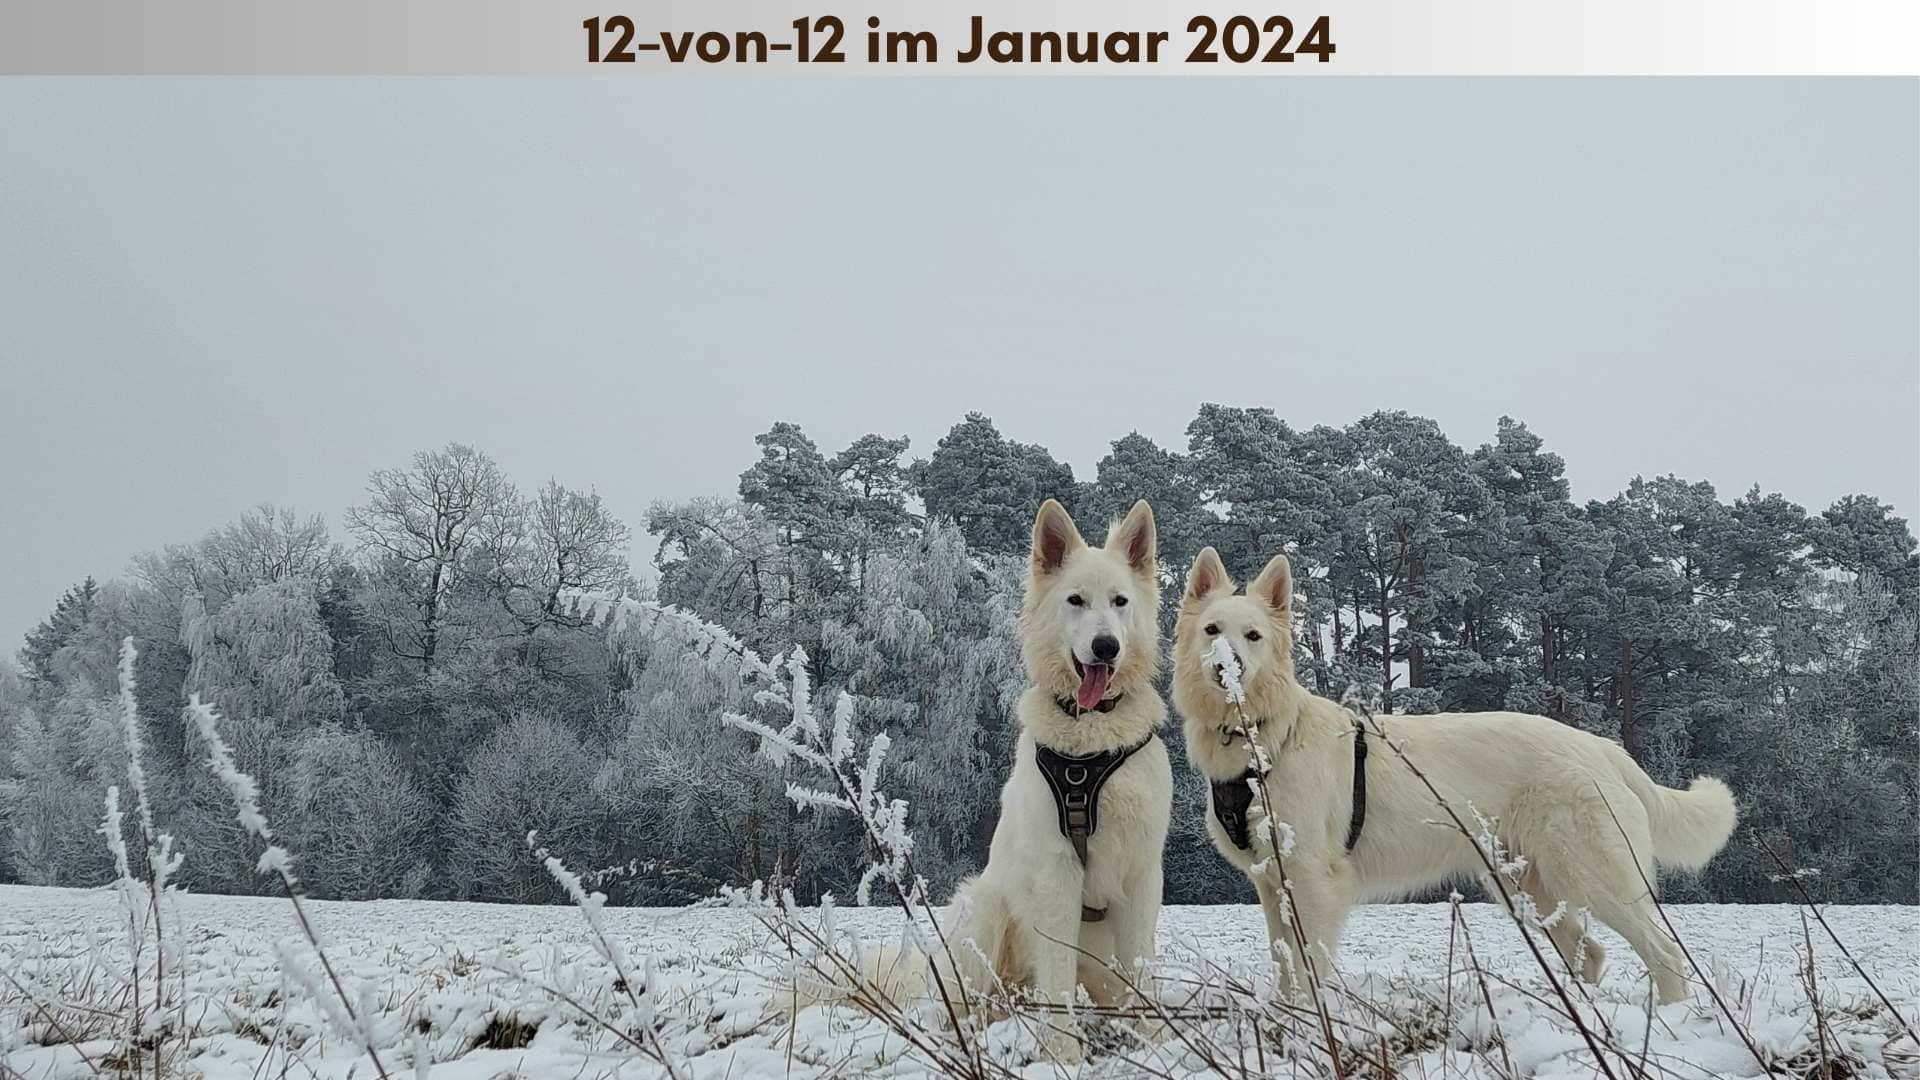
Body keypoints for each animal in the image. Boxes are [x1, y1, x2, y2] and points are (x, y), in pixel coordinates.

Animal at [1167, 545, 1743, 999]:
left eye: (1253, 636)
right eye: (1212, 630)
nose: (1225, 667)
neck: (1267, 738)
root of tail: (1602, 749)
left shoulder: (1310, 881)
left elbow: (1308, 972)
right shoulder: (1271, 883)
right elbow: (1285, 966)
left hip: (1594, 878)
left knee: (1665, 955)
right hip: (1529, 886)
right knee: (1592, 954)